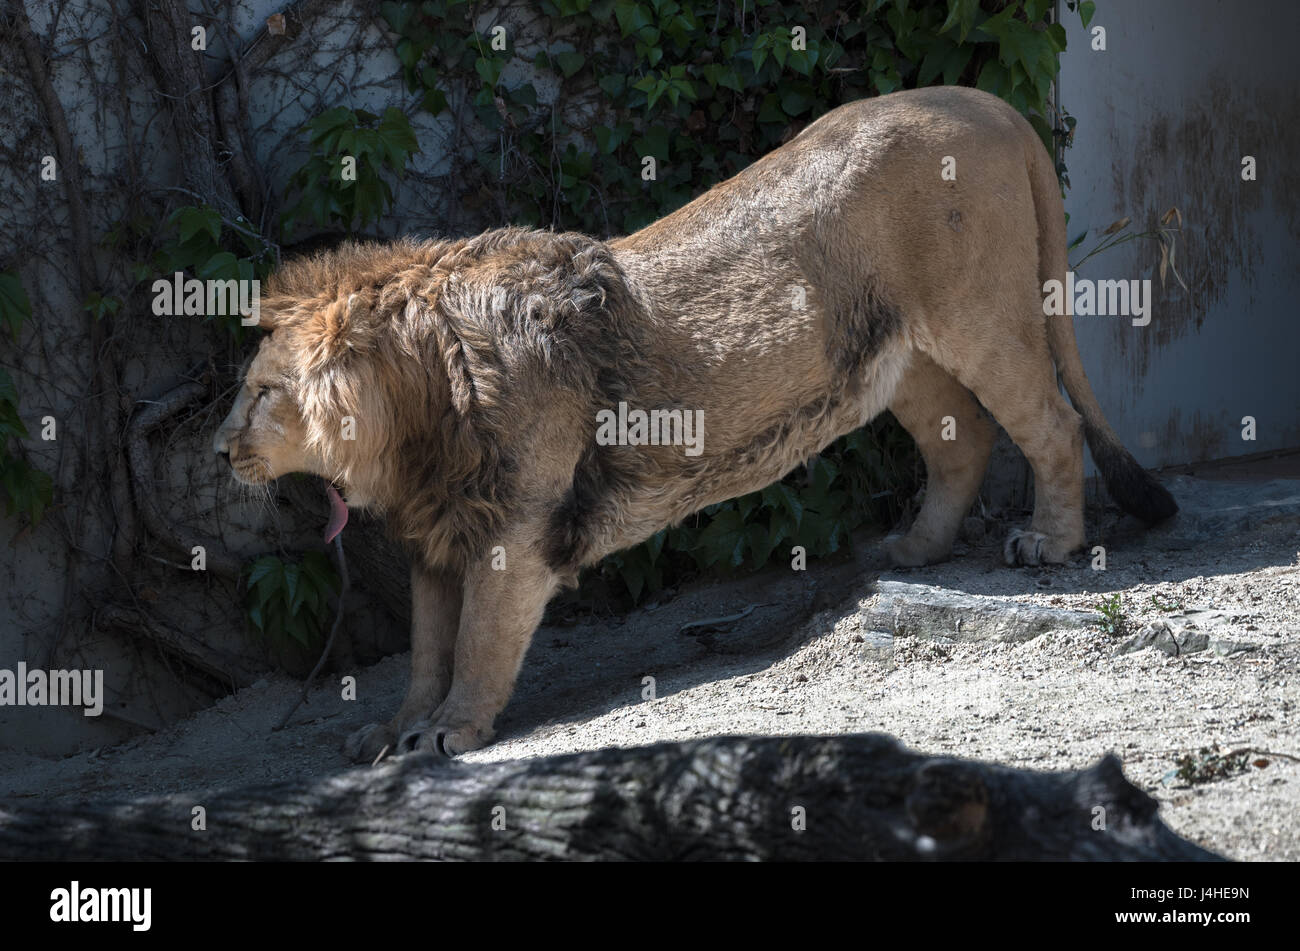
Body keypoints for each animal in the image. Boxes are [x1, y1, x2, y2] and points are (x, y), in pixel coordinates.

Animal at [213, 86, 1176, 759]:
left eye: (260, 392)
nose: (219, 450)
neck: (413, 429)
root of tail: (991, 104)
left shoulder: (512, 527)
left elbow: (479, 643)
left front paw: (450, 730)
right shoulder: (439, 535)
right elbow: (423, 650)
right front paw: (391, 730)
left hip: (980, 317)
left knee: (1051, 423)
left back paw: (1049, 542)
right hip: (901, 358)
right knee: (966, 439)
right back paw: (914, 549)